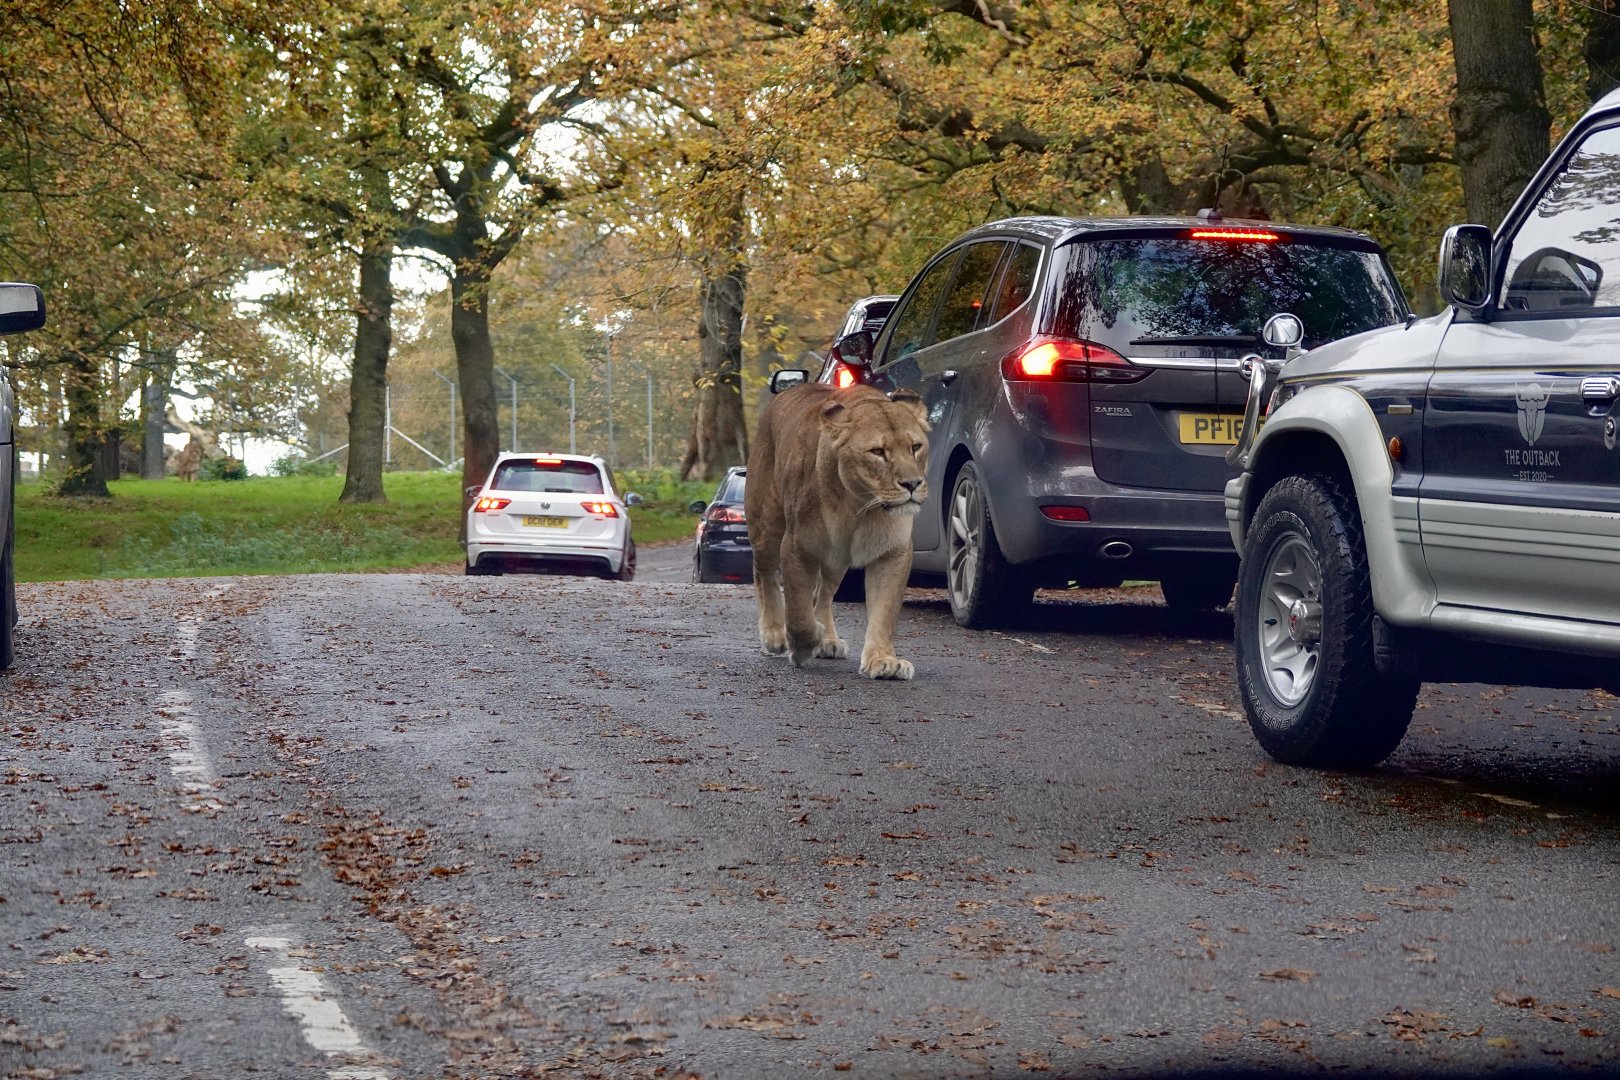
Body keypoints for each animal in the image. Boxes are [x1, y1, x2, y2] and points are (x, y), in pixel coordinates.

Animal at [745, 382, 930, 680]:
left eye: (915, 447)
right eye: (878, 452)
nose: (913, 484)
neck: (860, 507)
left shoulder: (893, 552)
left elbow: (884, 611)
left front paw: (884, 660)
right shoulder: (797, 547)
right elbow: (798, 614)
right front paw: (802, 647)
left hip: (836, 559)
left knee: (823, 596)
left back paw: (829, 641)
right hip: (766, 527)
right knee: (764, 575)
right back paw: (774, 635)